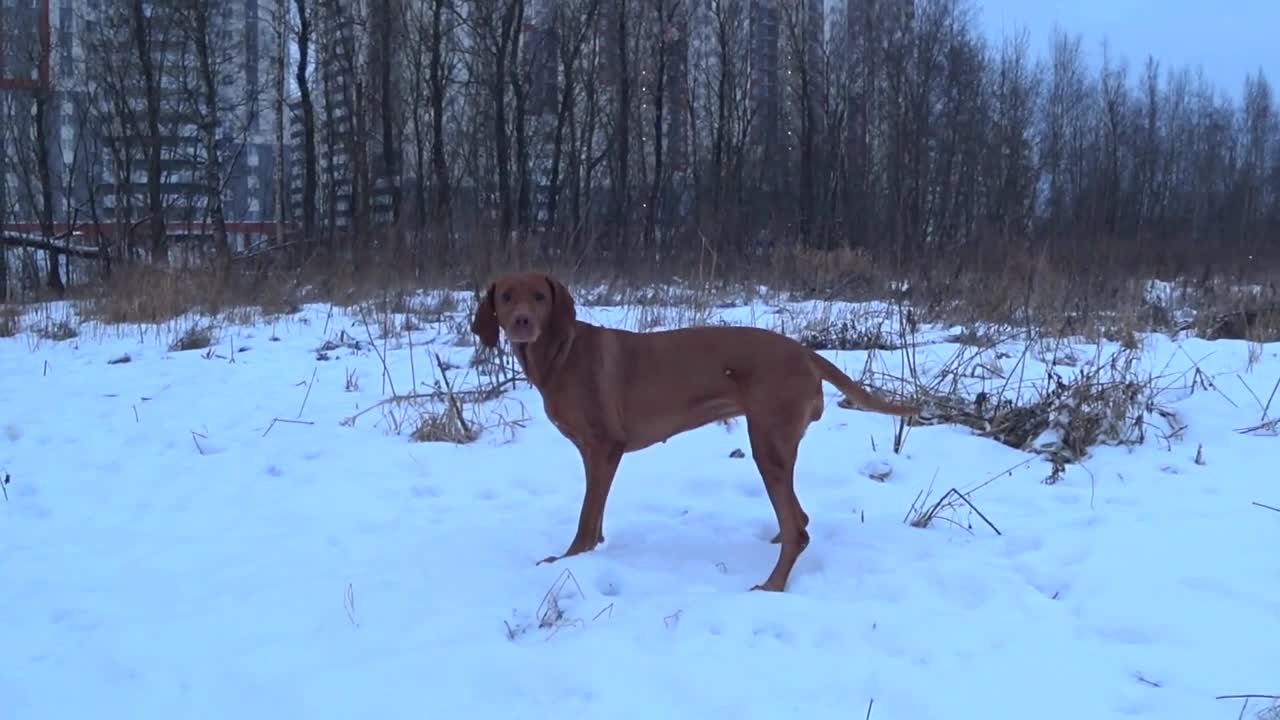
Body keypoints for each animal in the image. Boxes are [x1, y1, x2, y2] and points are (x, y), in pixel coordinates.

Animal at [471, 269, 921, 589]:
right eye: (505, 296)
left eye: (540, 296)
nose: (521, 322)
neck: (560, 354)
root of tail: (807, 353)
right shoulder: (593, 454)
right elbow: (594, 517)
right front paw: (589, 553)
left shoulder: (604, 447)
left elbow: (586, 517)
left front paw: (568, 560)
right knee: (800, 518)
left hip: (767, 444)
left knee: (798, 529)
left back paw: (772, 585)